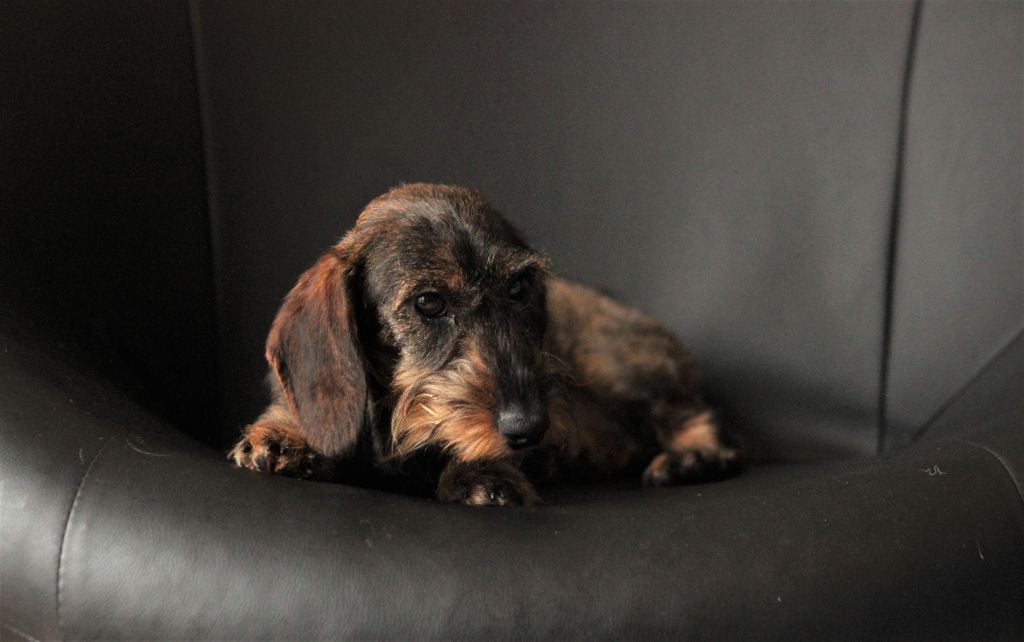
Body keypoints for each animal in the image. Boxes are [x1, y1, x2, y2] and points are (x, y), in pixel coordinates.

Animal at [229, 183, 740, 505]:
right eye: (429, 302)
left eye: (518, 287)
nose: (531, 428)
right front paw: (282, 436)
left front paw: (482, 474)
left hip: (612, 362)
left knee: (696, 416)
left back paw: (693, 457)